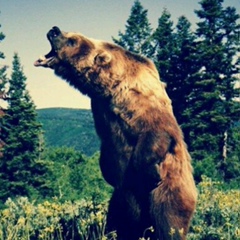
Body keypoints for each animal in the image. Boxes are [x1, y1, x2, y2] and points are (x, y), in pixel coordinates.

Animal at [34, 26, 198, 240]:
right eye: (70, 35)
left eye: (72, 40)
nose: (54, 30)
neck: (111, 88)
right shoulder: (104, 114)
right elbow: (109, 155)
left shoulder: (144, 106)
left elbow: (156, 135)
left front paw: (151, 172)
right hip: (118, 202)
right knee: (117, 221)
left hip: (170, 192)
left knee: (167, 223)